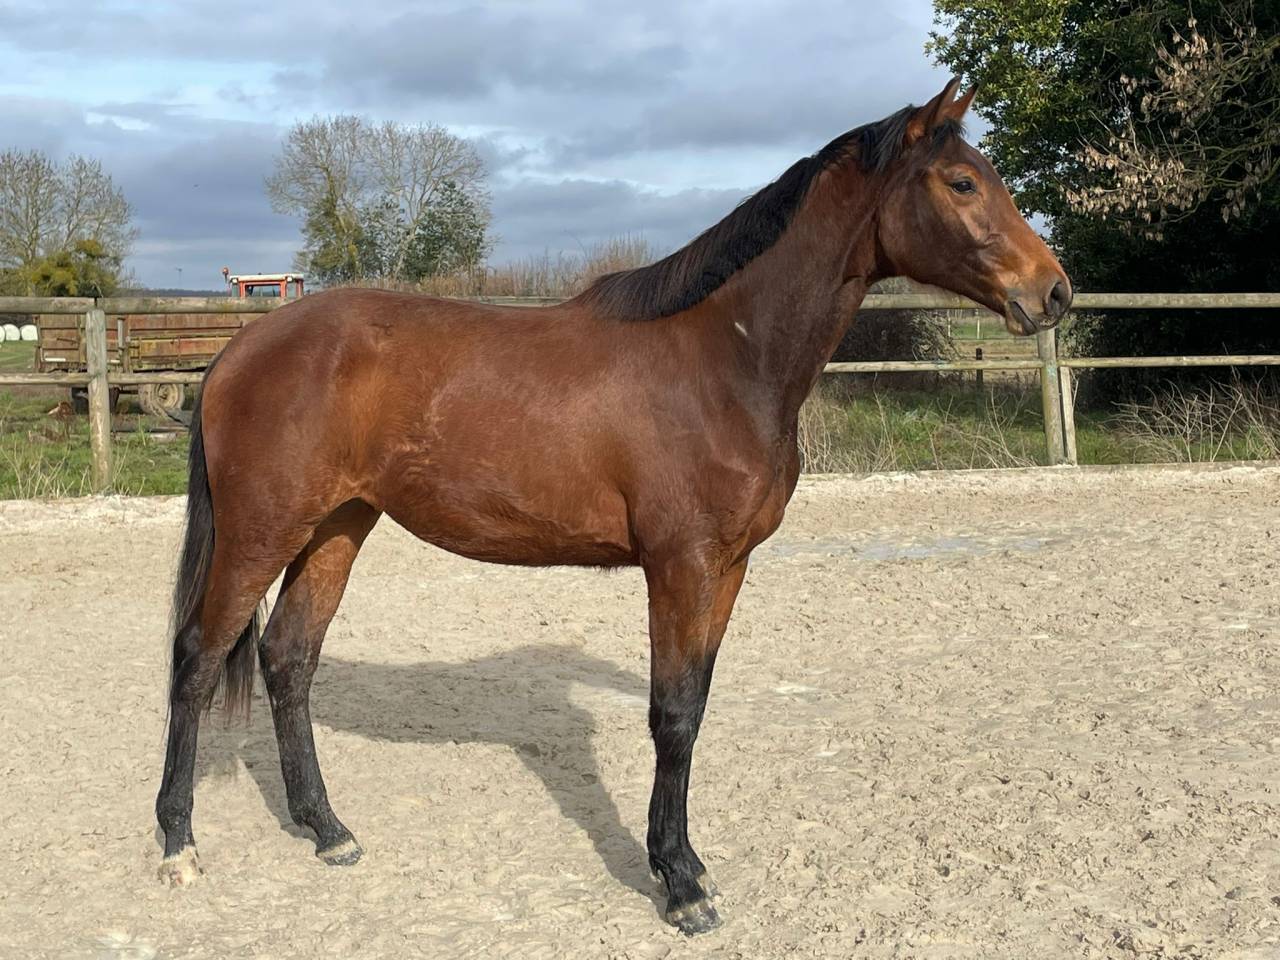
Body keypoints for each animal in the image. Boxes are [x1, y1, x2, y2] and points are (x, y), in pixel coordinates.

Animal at [155, 77, 1071, 935]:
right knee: (199, 658)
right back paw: (177, 844)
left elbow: (694, 707)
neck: (721, 358)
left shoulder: (728, 569)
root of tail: (241, 348)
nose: (1055, 292)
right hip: (261, 529)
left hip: (336, 526)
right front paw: (680, 884)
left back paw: (327, 830)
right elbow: (671, 715)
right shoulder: (680, 565)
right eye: (961, 181)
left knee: (288, 659)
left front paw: (687, 864)